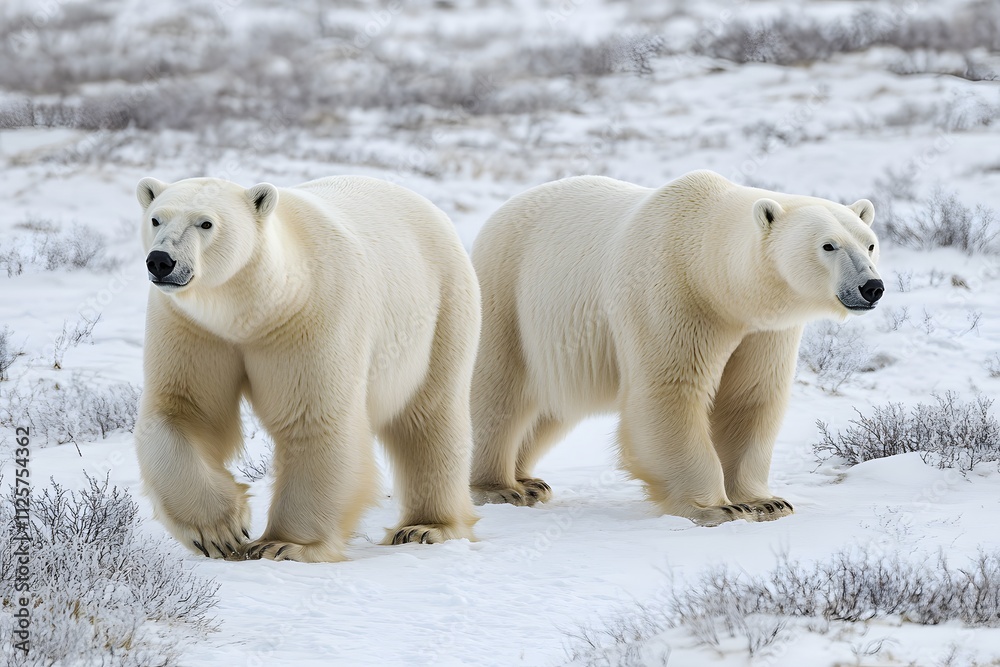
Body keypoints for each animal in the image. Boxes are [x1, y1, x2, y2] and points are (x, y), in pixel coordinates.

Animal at [134, 175, 480, 562]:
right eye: (156, 219)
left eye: (205, 223)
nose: (161, 261)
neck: (256, 308)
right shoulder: (194, 328)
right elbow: (183, 410)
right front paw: (220, 531)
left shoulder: (311, 315)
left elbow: (312, 417)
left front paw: (283, 544)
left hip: (441, 310)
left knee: (431, 413)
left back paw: (425, 527)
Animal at [469, 170, 882, 525]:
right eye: (828, 245)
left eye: (870, 244)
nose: (872, 287)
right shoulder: (672, 293)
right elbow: (670, 393)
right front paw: (717, 508)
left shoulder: (762, 329)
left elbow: (750, 397)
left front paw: (767, 501)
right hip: (507, 294)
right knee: (496, 390)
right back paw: (500, 488)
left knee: (550, 408)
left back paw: (529, 481)